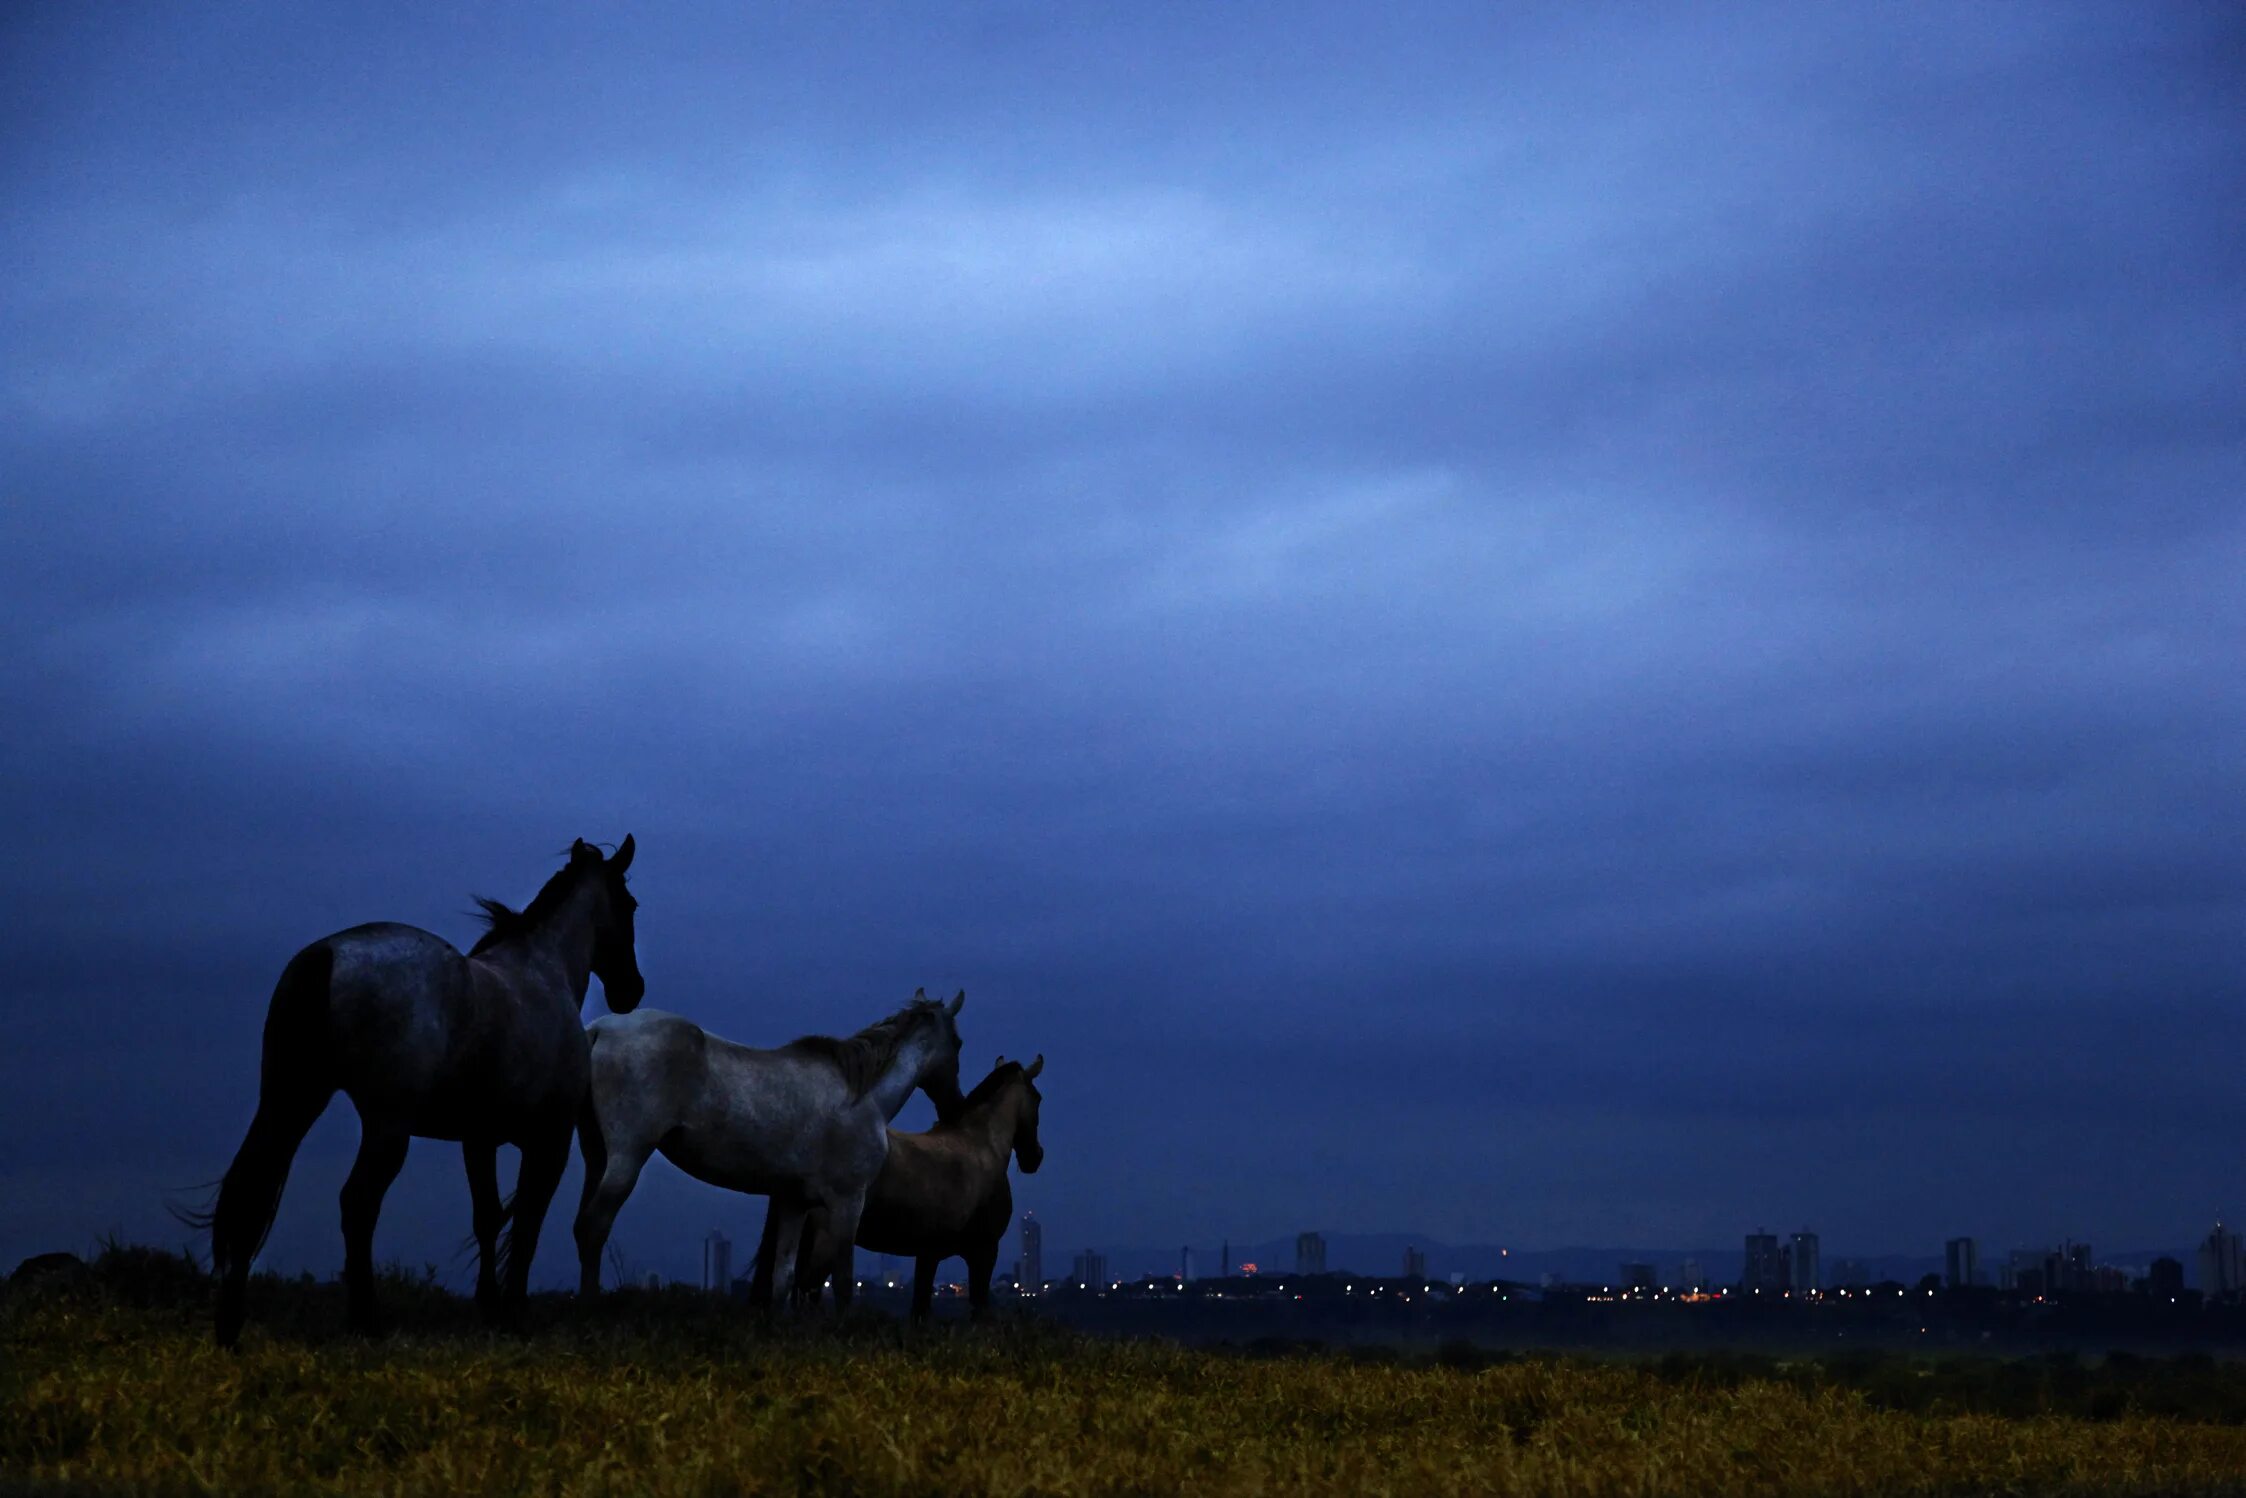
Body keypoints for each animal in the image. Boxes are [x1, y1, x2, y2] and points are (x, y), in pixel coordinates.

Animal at [199, 830, 642, 1347]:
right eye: (629, 903)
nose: (632, 990)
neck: (541, 975)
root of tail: (326, 955)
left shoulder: (479, 1140)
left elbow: (488, 1217)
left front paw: (490, 1308)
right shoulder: (548, 1142)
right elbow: (527, 1224)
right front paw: (514, 1311)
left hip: (291, 1102)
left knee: (251, 1192)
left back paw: (230, 1327)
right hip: (386, 1127)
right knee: (358, 1203)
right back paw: (365, 1319)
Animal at [574, 988, 961, 1302]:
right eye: (957, 1043)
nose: (953, 1103)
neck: (863, 1098)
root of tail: (600, 1029)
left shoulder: (793, 1202)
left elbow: (782, 1278)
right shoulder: (848, 1202)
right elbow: (843, 1280)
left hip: (598, 1157)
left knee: (582, 1225)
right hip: (626, 1158)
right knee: (594, 1226)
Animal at [750, 1051, 1037, 1320]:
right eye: (1038, 1099)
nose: (1035, 1157)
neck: (981, 1147)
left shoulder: (929, 1253)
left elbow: (920, 1308)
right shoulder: (985, 1251)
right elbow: (978, 1307)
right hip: (823, 1243)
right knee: (809, 1290)